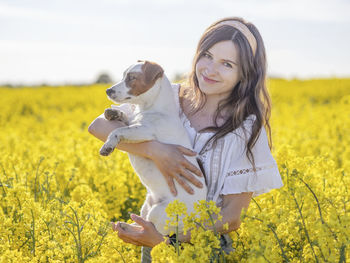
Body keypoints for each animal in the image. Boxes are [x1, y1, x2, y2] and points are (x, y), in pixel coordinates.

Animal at [99, 60, 208, 236]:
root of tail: (197, 219)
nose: (108, 90)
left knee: (156, 234)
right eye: (124, 75)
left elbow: (118, 131)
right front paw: (113, 113)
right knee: (143, 223)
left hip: (158, 213)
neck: (152, 108)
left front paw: (108, 145)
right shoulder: (135, 123)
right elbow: (126, 119)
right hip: (146, 206)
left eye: (132, 77)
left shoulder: (144, 131)